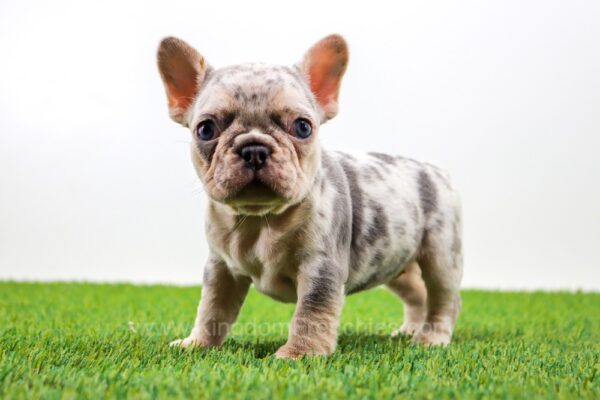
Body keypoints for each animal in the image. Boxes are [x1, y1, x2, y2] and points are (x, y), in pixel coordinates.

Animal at [157, 35, 462, 360]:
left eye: (302, 127)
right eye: (205, 129)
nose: (254, 149)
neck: (259, 219)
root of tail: (436, 171)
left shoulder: (320, 267)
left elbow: (311, 312)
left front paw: (300, 353)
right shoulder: (221, 269)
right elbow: (212, 308)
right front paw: (198, 343)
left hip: (441, 257)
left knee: (444, 299)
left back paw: (432, 337)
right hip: (397, 262)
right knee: (417, 293)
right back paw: (410, 330)